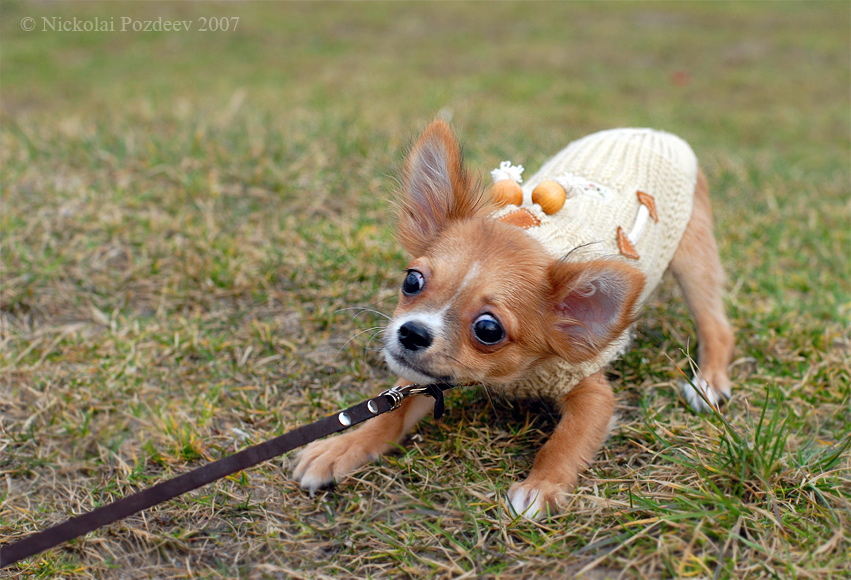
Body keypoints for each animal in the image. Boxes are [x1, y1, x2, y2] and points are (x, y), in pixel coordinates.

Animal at [292, 120, 732, 520]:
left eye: (489, 330)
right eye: (411, 281)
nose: (411, 333)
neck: (511, 376)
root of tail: (650, 131)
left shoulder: (591, 393)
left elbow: (564, 442)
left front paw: (540, 487)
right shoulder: (425, 378)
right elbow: (390, 411)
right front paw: (339, 448)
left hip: (694, 259)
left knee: (718, 327)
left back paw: (708, 383)